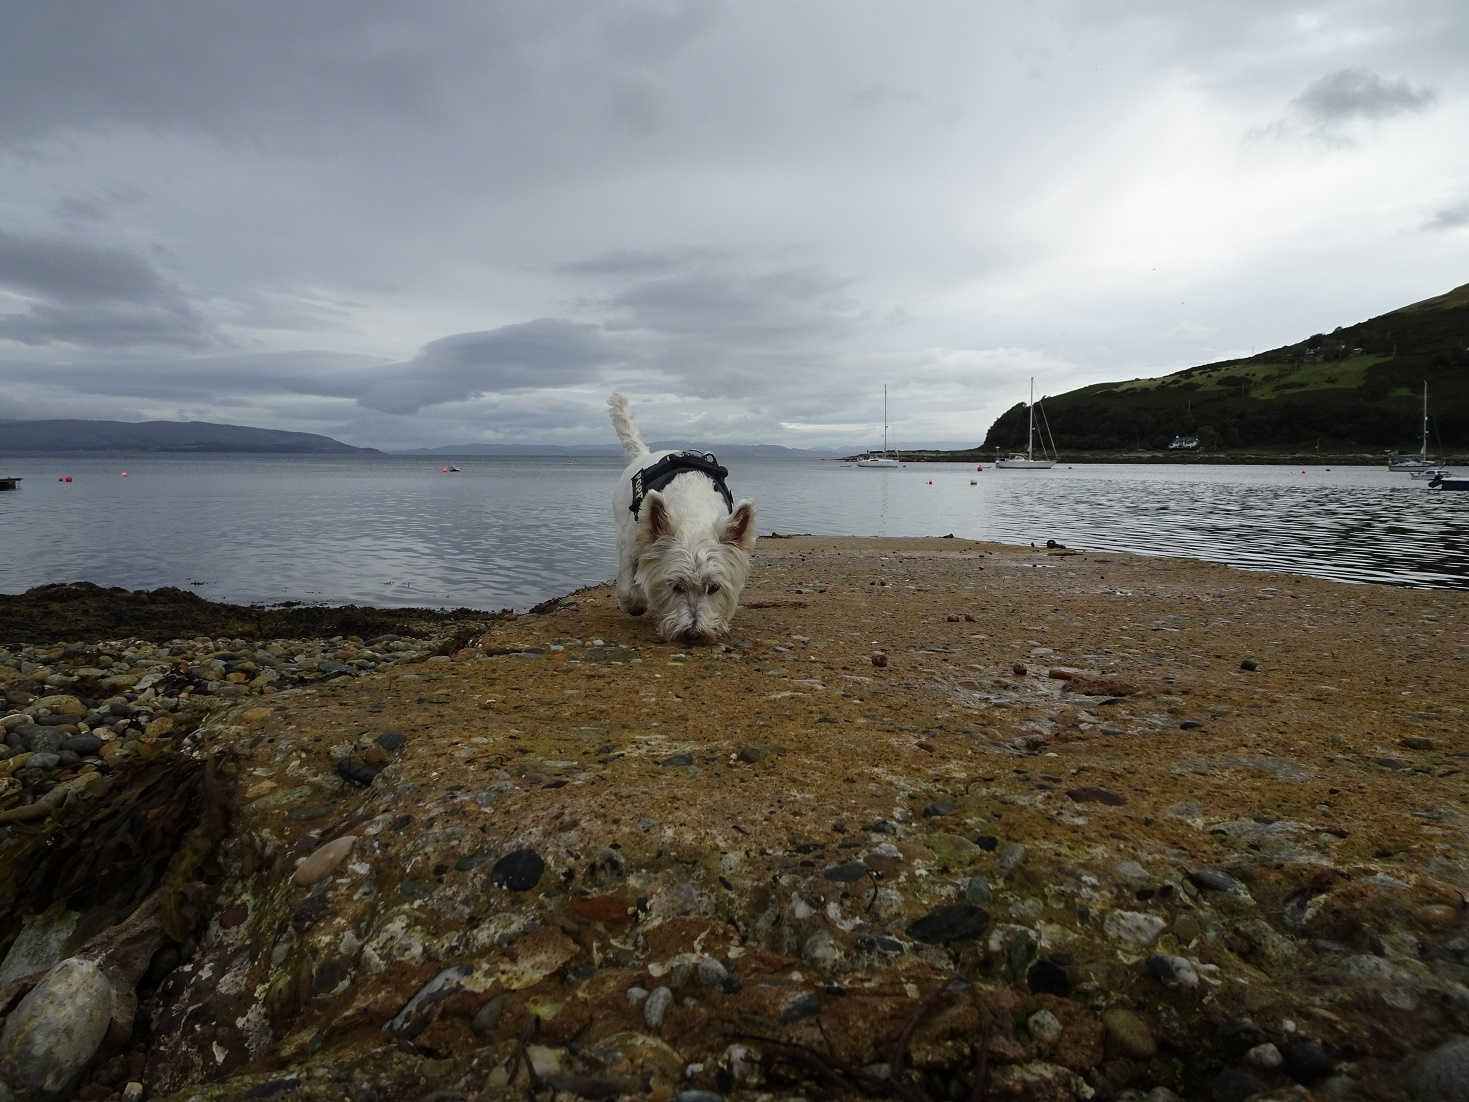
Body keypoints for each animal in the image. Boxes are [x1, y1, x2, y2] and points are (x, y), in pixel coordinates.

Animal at [608, 393, 758, 646]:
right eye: (676, 586)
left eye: (714, 588)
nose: (693, 634)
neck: (693, 513)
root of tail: (644, 453)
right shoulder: (631, 543)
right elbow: (628, 583)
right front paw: (636, 603)